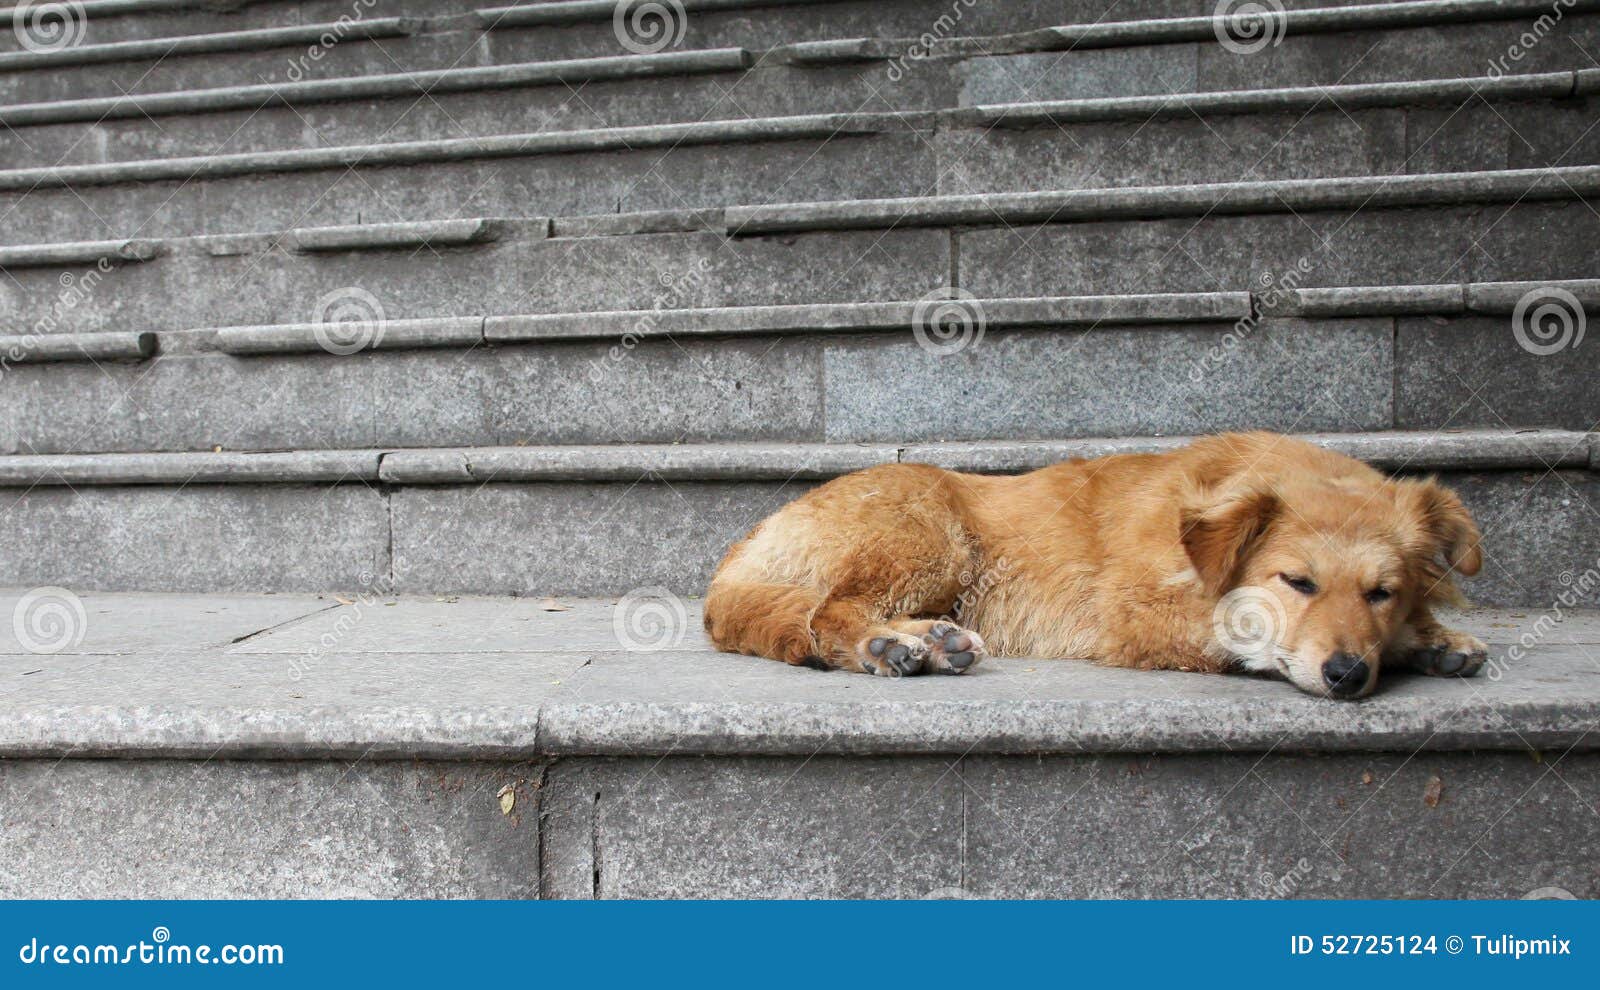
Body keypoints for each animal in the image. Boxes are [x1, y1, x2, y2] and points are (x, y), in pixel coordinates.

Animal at [707, 428, 1491, 700]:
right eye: (1297, 582)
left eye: (1382, 592)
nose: (1348, 675)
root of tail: (742, 551)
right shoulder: (1136, 612)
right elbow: (1236, 631)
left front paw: (1431, 637)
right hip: (931, 532)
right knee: (827, 613)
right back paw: (885, 645)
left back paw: (935, 640)